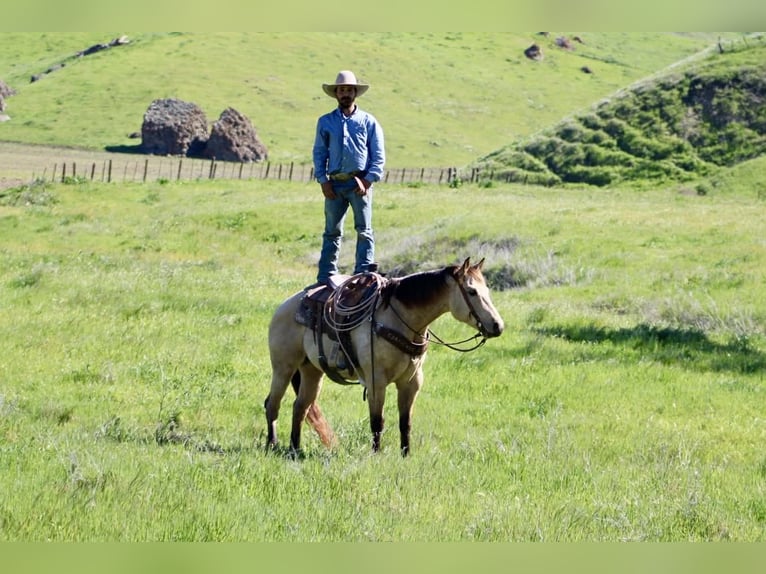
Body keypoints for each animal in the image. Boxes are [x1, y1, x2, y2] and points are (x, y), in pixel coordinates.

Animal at [263, 257, 504, 456]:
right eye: (471, 292)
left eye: (487, 290)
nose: (498, 326)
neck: (399, 318)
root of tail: (285, 306)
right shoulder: (376, 380)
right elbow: (377, 421)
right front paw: (376, 454)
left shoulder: (411, 382)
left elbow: (405, 422)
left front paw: (406, 455)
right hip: (283, 368)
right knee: (272, 404)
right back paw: (271, 445)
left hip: (311, 372)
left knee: (300, 407)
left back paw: (294, 449)